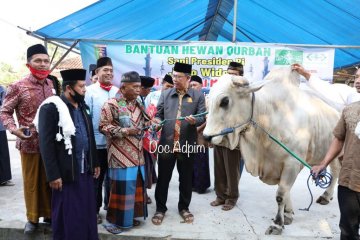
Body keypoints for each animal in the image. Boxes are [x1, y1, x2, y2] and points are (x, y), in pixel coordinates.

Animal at [202, 67, 340, 234]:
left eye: (225, 101)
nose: (206, 137)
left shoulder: (292, 163)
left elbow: (281, 194)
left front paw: (278, 224)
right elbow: (286, 192)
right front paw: (288, 214)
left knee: (337, 172)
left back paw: (326, 195)